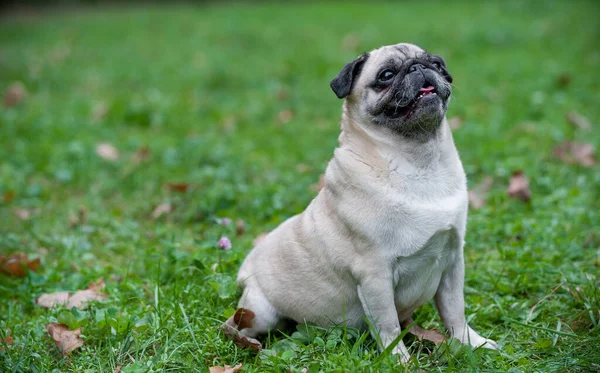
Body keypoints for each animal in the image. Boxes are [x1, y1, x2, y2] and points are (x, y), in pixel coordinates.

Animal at [223, 42, 500, 360]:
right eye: (387, 75)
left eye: (437, 64)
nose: (419, 67)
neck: (418, 160)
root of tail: (246, 268)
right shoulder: (375, 275)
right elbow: (388, 326)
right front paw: (398, 360)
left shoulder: (453, 261)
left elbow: (455, 312)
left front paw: (471, 342)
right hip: (261, 312)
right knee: (235, 324)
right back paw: (246, 342)